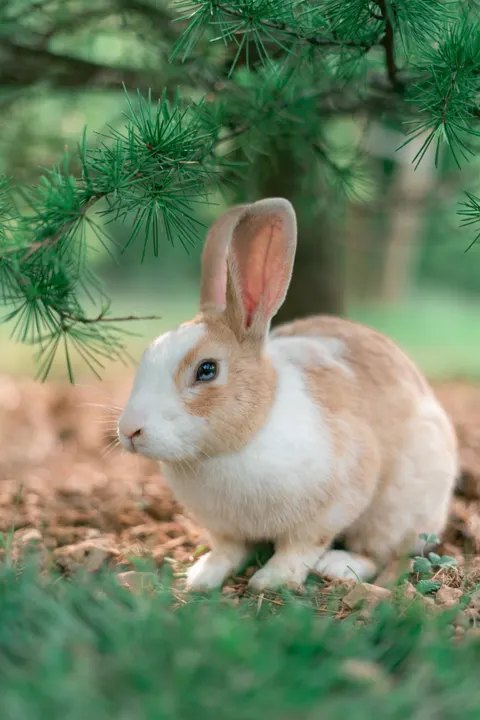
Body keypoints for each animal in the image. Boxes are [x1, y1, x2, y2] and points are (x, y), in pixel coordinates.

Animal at [118, 198, 458, 592]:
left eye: (207, 369)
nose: (129, 430)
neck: (239, 442)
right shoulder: (224, 529)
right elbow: (228, 551)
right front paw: (202, 577)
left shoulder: (330, 508)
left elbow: (299, 549)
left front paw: (270, 580)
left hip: (396, 510)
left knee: (380, 552)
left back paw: (339, 566)